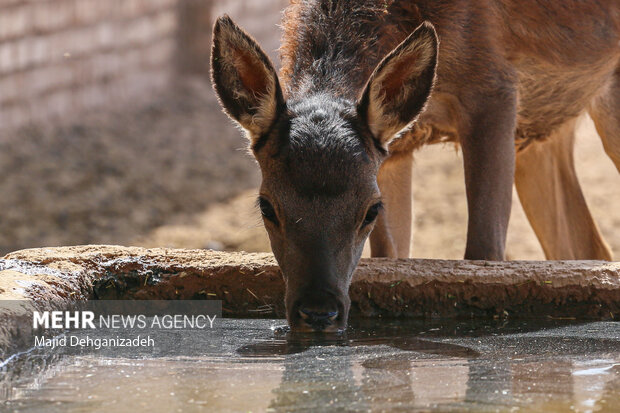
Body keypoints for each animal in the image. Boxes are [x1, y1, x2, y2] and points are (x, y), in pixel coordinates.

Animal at [212, 0, 620, 330]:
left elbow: (484, 254)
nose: (318, 312)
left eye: (369, 210)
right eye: (266, 206)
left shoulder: (495, 86)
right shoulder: (394, 150)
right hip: (544, 131)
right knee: (588, 248)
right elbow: (391, 257)